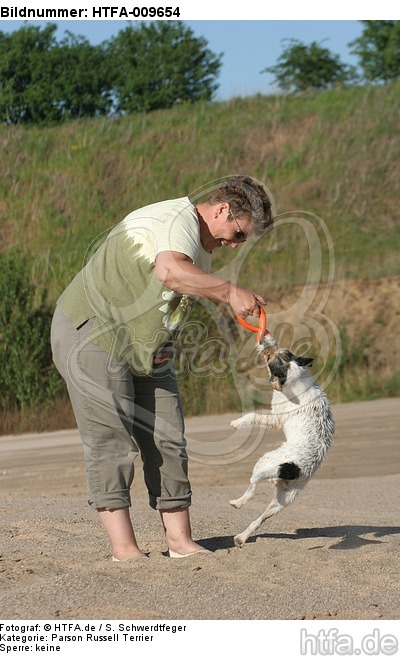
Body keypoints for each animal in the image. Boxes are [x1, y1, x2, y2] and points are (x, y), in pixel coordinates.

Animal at [228, 336, 334, 544]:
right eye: (286, 351)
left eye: (270, 356)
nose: (264, 341)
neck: (294, 374)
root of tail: (296, 467)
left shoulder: (275, 418)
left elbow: (253, 415)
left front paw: (237, 423)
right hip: (281, 501)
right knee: (259, 520)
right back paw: (242, 537)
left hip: (264, 462)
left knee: (252, 488)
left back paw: (237, 503)